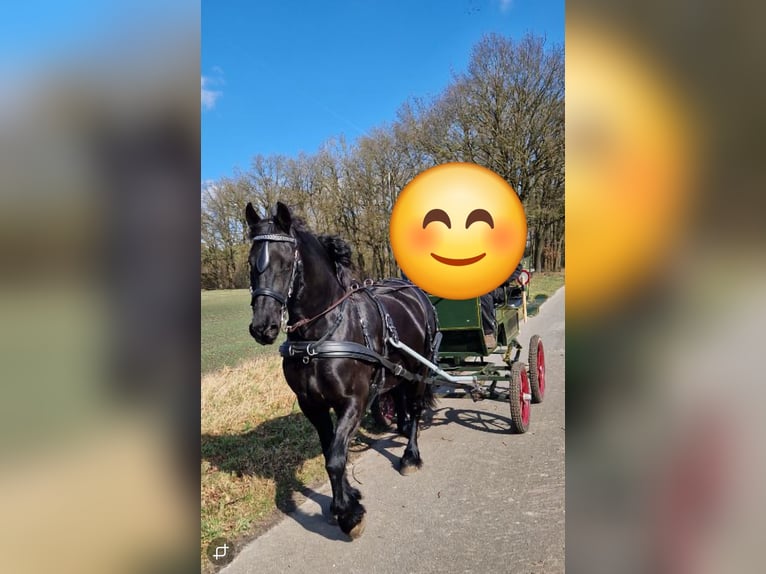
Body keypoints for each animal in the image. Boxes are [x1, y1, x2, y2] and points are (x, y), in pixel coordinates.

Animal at [245, 201, 438, 538]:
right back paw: (400, 426)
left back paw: (410, 455)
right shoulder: (312, 404)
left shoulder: (353, 401)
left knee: (415, 408)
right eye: (250, 262)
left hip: (420, 368)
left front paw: (349, 514)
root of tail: (413, 291)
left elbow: (336, 458)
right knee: (401, 398)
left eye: (285, 263)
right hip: (398, 371)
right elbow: (331, 450)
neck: (320, 335)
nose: (263, 327)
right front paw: (345, 499)